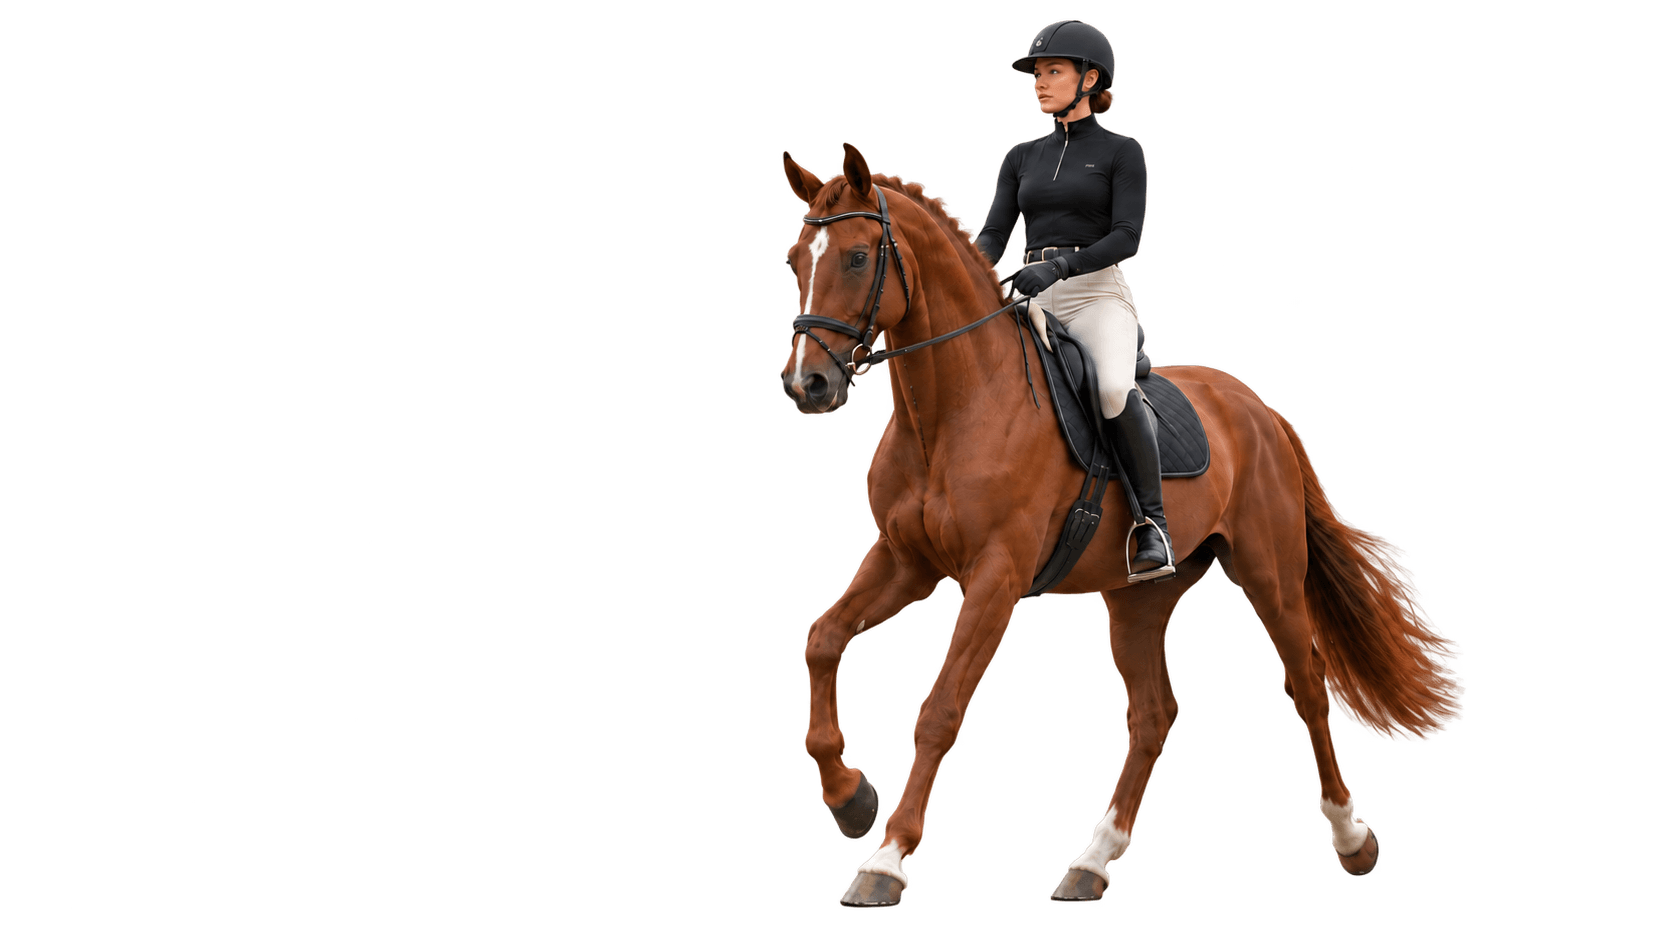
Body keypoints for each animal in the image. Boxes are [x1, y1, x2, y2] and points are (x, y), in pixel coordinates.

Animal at [775, 142, 1465, 910]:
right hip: (1140, 599)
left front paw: (887, 858)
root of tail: (1255, 406)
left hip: (1271, 576)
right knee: (1154, 713)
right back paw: (1092, 860)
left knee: (1307, 685)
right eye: (794, 259)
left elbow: (940, 709)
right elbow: (822, 640)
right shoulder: (904, 560)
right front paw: (849, 798)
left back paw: (1351, 837)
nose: (807, 385)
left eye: (857, 257)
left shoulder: (995, 576)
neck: (954, 407)